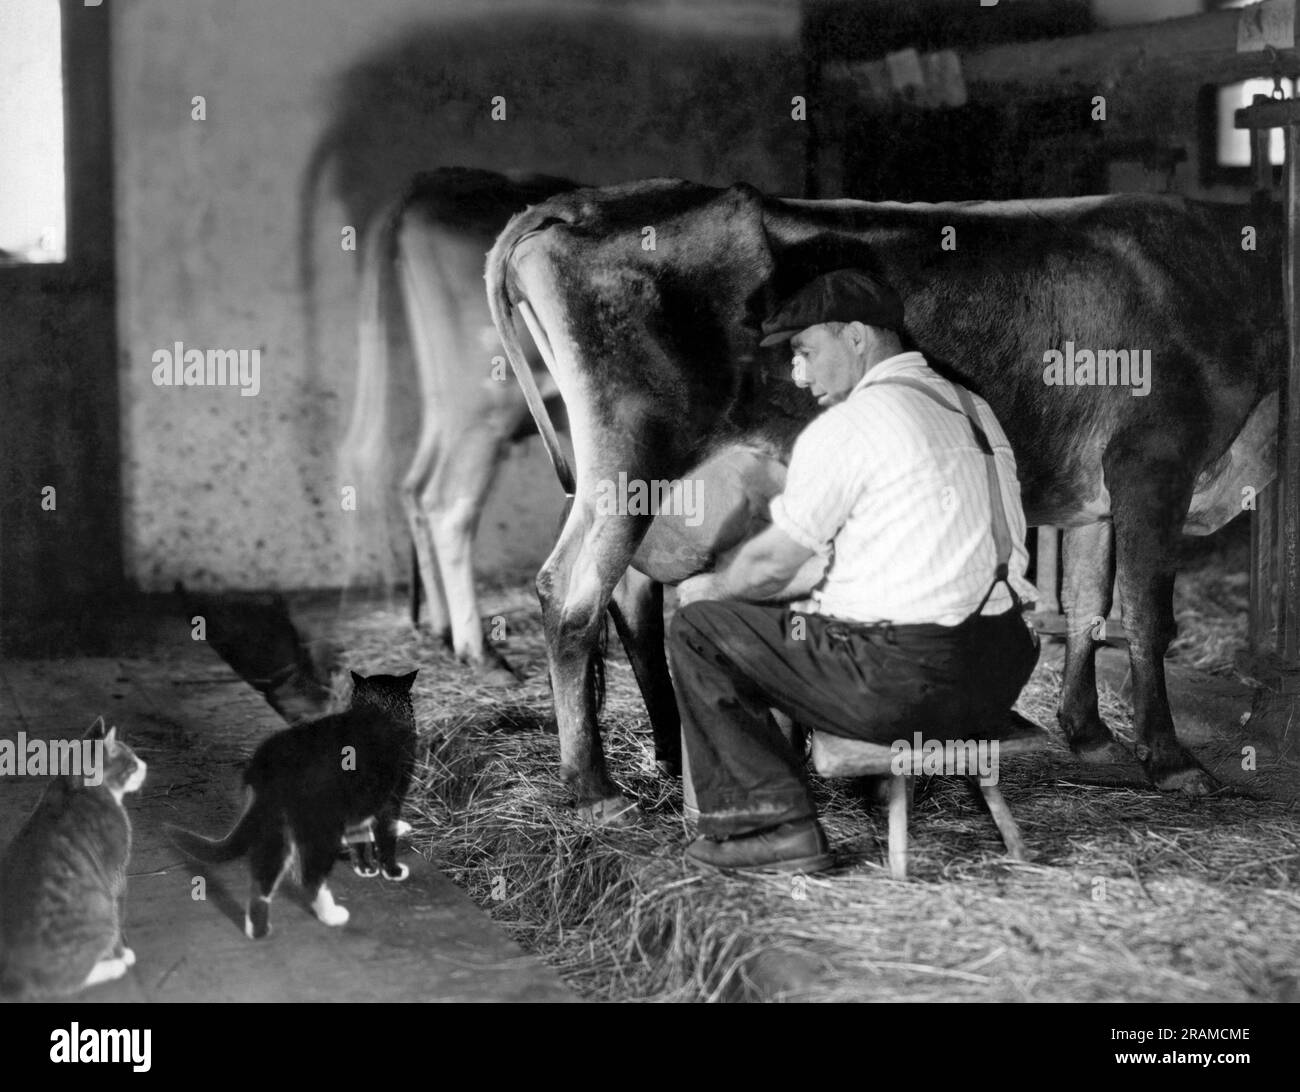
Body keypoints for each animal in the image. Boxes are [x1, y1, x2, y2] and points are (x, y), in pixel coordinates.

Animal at [0, 717, 148, 998]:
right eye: (132, 764)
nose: (145, 765)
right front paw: (123, 953)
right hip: (100, 914)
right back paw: (112, 967)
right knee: (65, 982)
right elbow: (120, 918)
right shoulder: (116, 876)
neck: (75, 787)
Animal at [165, 676, 413, 935]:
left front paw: (365, 866)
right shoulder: (391, 795)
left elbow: (362, 835)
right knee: (310, 876)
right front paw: (392, 870)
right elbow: (384, 834)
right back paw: (331, 916)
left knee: (264, 879)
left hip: (276, 824)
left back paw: (258, 930)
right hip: (316, 824)